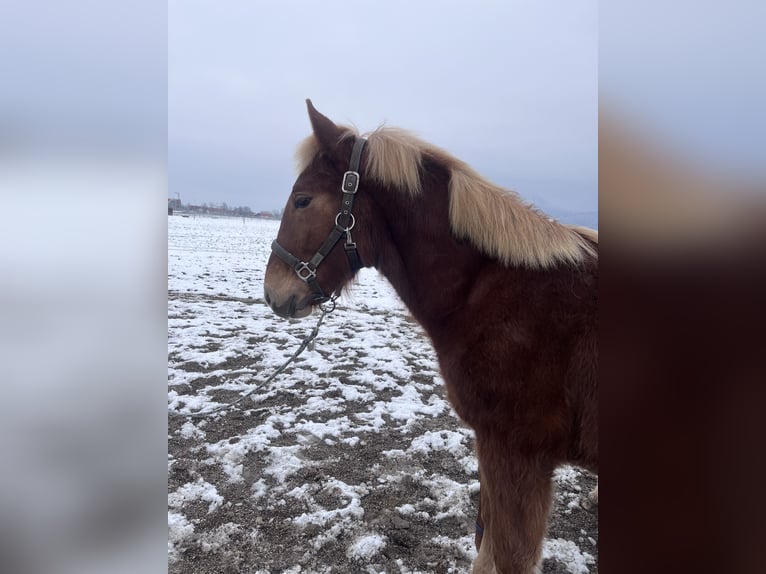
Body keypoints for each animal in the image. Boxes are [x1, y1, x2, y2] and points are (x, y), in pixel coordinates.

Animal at [264, 101, 600, 572]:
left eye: (303, 200)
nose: (272, 292)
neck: (489, 290)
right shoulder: (492, 449)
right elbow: (484, 544)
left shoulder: (517, 455)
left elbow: (507, 556)